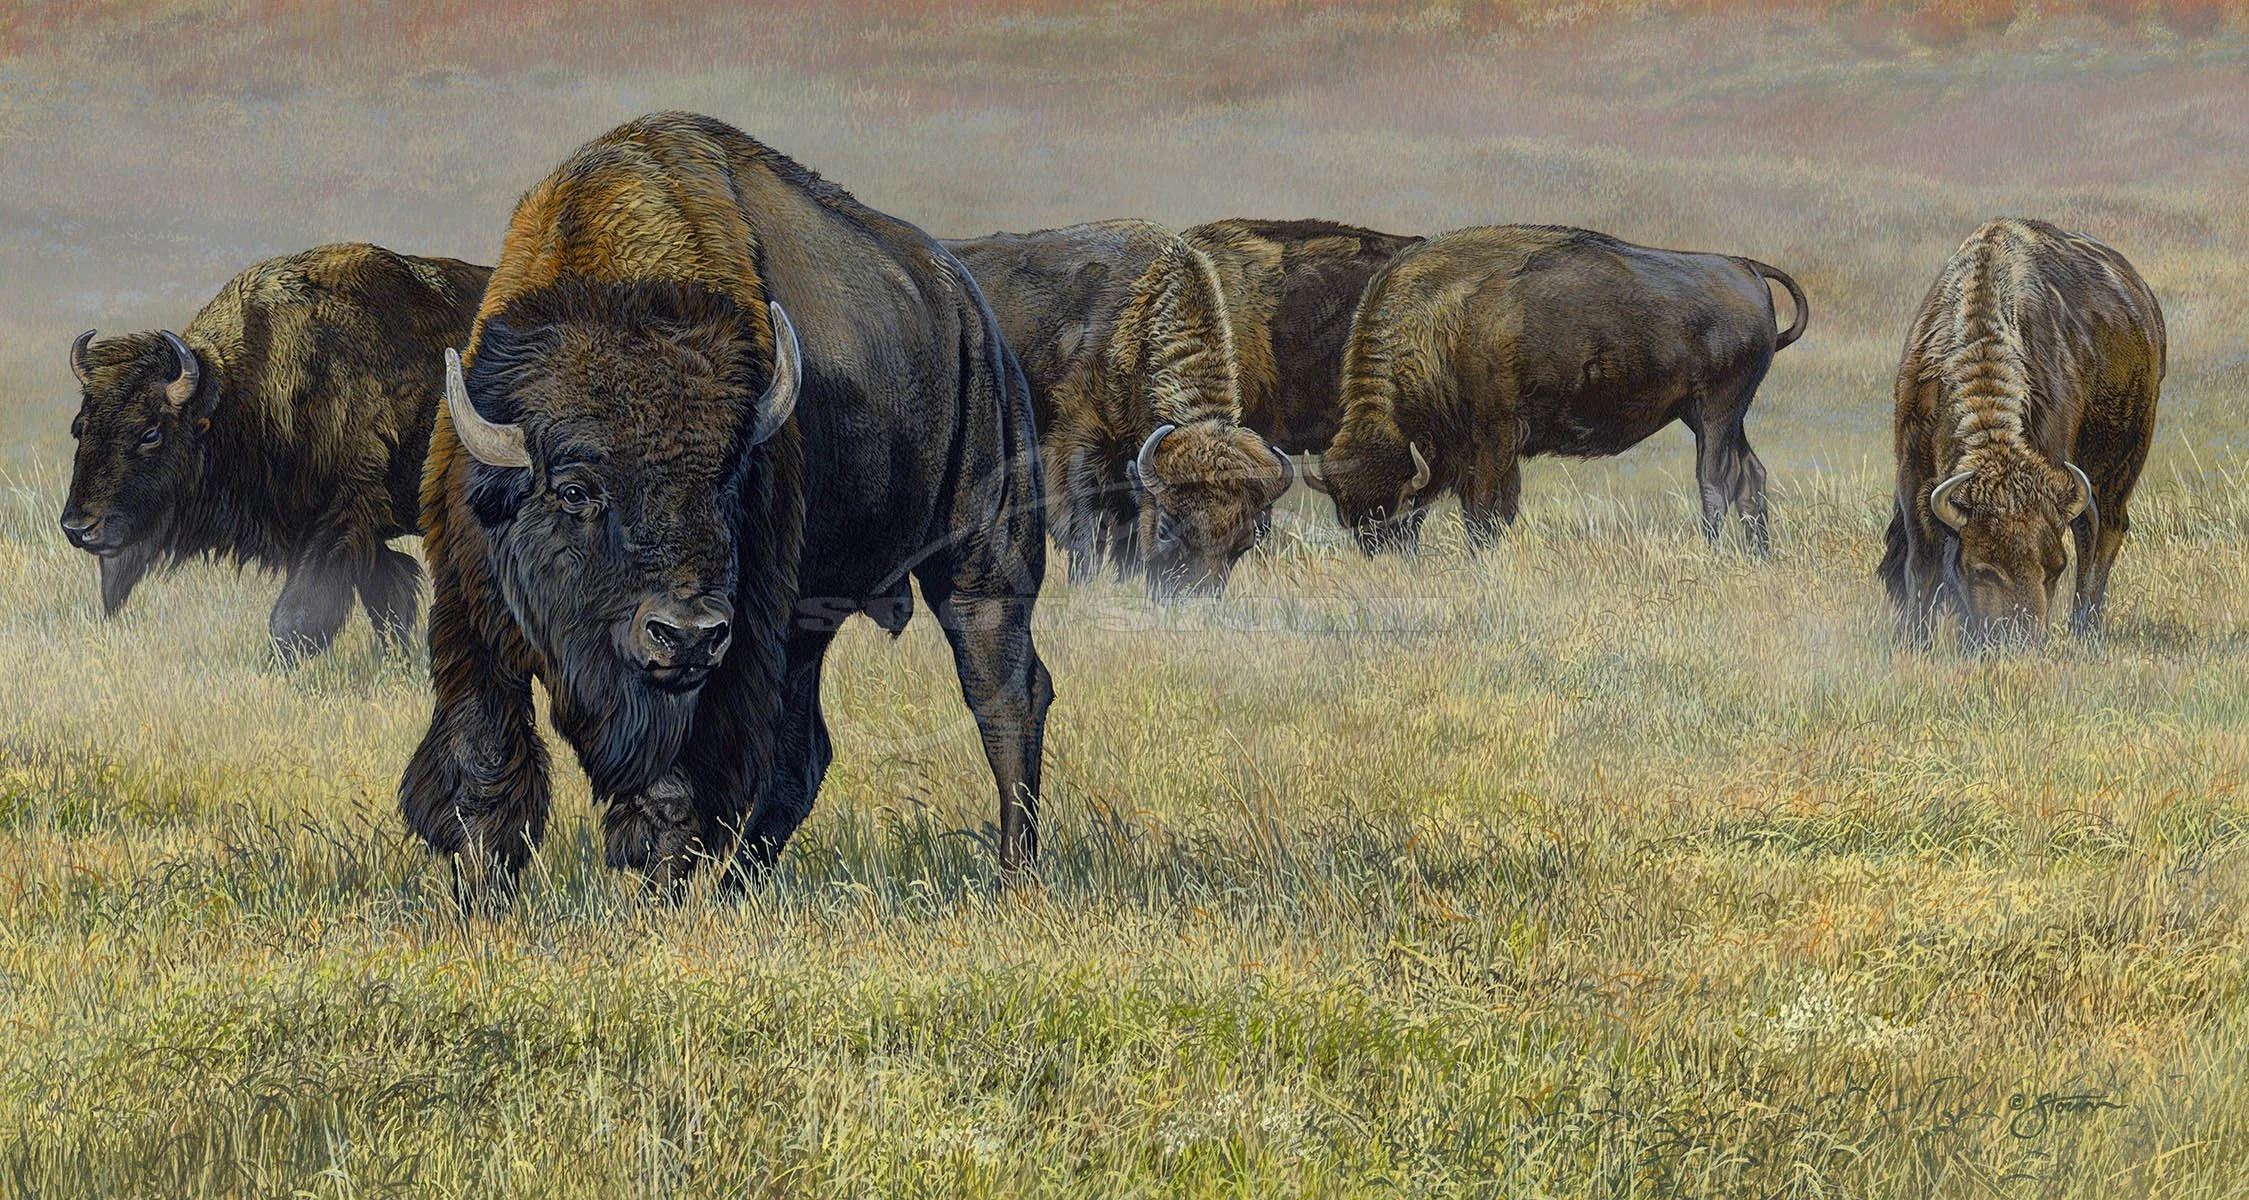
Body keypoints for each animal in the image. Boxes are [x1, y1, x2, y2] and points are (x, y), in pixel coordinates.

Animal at [60, 244, 490, 654]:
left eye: (151, 433)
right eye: (79, 427)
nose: (79, 527)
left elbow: (297, 616)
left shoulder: (343, 516)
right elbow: (388, 598)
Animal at [401, 112, 1052, 902]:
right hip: (811, 621)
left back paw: (1015, 876)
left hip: (984, 558)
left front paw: (658, 894)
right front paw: (478, 897)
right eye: (576, 490)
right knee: (803, 755)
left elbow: (678, 787)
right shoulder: (472, 617)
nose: (684, 635)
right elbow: (484, 764)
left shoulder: (736, 648)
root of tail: (967, 307)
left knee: (1003, 692)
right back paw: (742, 884)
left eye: (729, 479)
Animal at [1306, 225, 1807, 553]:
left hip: (1716, 409)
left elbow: (1486, 511)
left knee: (1713, 480)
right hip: (1711, 414)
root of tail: (1745, 267)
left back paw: (1714, 552)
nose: (1383, 560)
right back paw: (1758, 556)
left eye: (1397, 514)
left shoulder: (1495, 436)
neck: (1443, 327)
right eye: (1350, 522)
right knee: (1750, 476)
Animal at [1879, 218, 2163, 646]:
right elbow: (1922, 563)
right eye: (1981, 568)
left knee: (2105, 532)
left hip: (2123, 463)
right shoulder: (1912, 471)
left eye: (2056, 567)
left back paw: (2085, 628)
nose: (2021, 640)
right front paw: (1914, 639)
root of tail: (2145, 302)